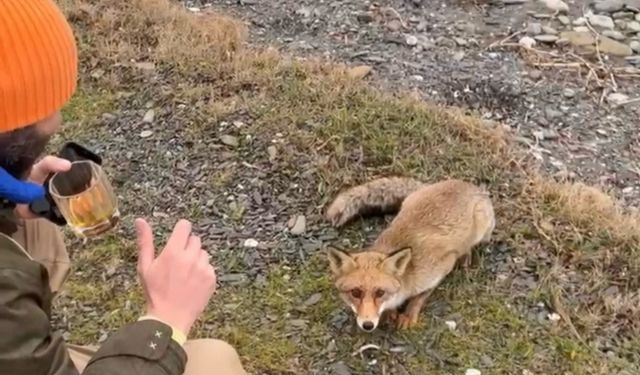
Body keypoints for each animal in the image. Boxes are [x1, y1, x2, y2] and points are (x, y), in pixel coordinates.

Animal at [324, 178, 496, 332]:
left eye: (380, 293)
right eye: (355, 293)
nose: (368, 325)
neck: (409, 271)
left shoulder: (442, 266)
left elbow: (420, 296)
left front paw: (408, 314)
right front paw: (391, 312)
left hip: (481, 226)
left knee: (472, 245)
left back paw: (466, 257)